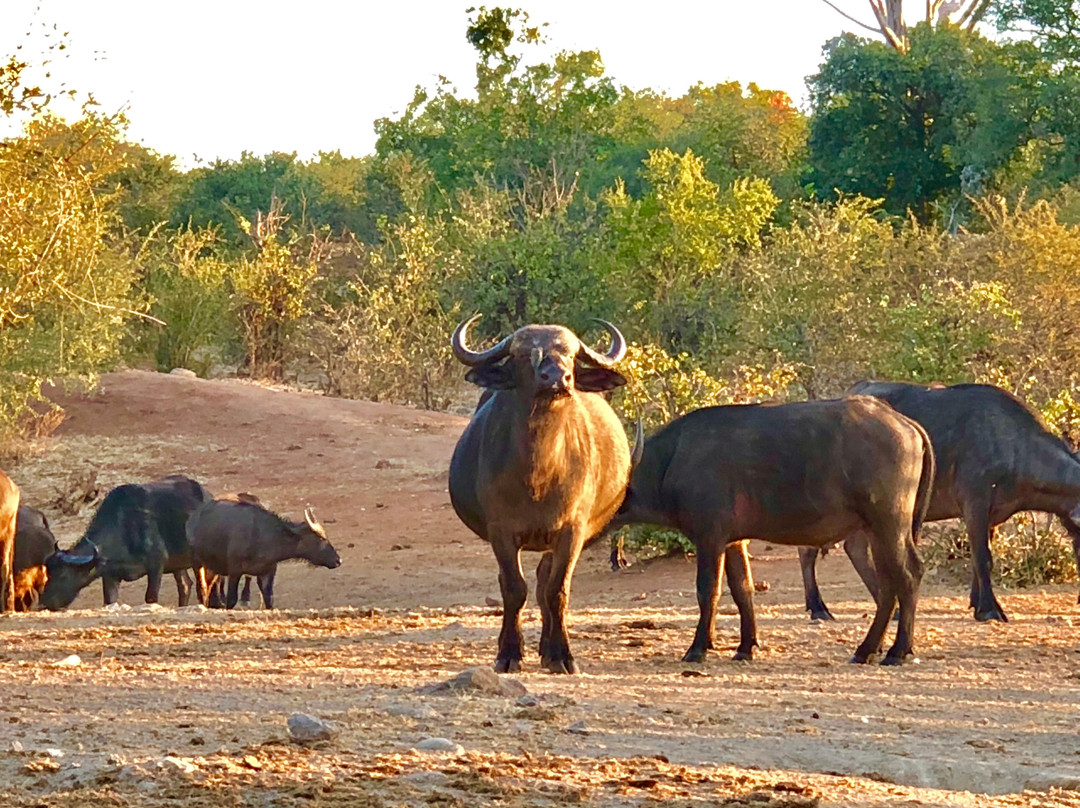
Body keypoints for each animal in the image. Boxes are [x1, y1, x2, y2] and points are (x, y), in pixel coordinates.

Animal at [42, 473, 211, 613]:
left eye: (63, 575)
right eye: (49, 573)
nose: (44, 602)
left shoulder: (156, 565)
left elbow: (151, 597)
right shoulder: (110, 575)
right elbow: (109, 601)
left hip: (197, 560)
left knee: (201, 586)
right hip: (178, 565)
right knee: (185, 585)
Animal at [185, 494, 336, 609]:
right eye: (321, 537)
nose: (337, 560)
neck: (264, 537)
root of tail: (193, 518)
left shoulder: (267, 572)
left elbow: (269, 599)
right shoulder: (235, 570)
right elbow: (231, 600)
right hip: (197, 563)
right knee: (202, 589)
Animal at [444, 315, 630, 674]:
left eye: (570, 354)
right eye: (523, 354)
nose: (557, 378)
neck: (539, 473)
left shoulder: (572, 530)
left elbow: (557, 590)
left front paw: (562, 655)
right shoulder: (501, 532)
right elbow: (514, 588)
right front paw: (509, 653)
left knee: (545, 583)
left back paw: (547, 648)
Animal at [613, 397, 933, 669]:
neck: (671, 460)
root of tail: (905, 423)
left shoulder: (709, 538)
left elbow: (708, 591)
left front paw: (697, 648)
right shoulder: (734, 541)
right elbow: (743, 589)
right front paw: (746, 647)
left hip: (890, 524)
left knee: (909, 574)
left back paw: (896, 651)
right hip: (876, 530)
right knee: (889, 583)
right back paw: (867, 650)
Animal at [799, 382, 1080, 622]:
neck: (1015, 446)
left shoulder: (993, 516)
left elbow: (979, 558)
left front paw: (976, 602)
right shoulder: (975, 504)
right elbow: (983, 558)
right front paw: (989, 609)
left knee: (855, 548)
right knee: (809, 550)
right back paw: (819, 608)